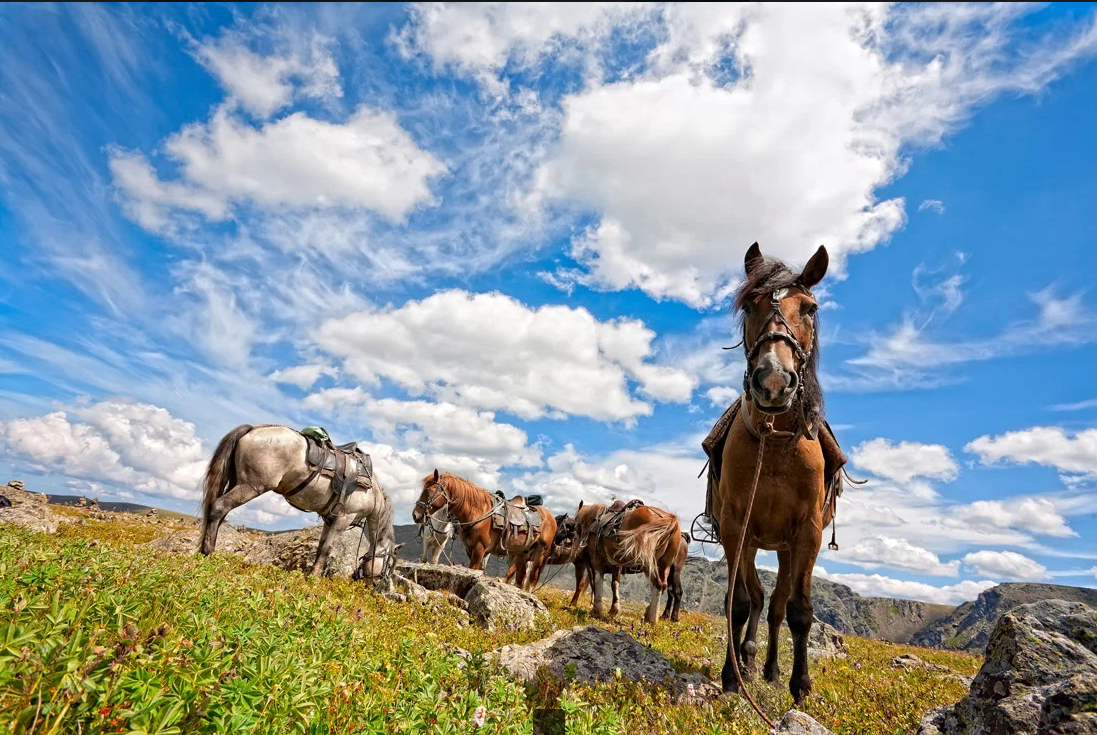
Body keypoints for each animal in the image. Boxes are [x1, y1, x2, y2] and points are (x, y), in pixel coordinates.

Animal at [199, 423, 401, 583]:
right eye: (388, 564)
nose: (378, 584)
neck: (372, 493)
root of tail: (254, 428)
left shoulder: (329, 519)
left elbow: (320, 547)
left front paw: (310, 574)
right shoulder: (343, 518)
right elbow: (327, 549)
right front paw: (314, 578)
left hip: (237, 483)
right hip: (251, 486)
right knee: (219, 507)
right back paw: (208, 552)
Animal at [414, 471, 561, 592]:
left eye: (429, 490)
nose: (415, 515)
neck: (477, 512)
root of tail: (550, 517)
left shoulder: (480, 549)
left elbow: (473, 569)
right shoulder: (470, 549)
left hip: (540, 553)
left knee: (532, 579)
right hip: (523, 553)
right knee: (520, 578)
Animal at [710, 244, 829, 706]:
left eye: (810, 308)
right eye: (749, 306)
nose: (774, 382)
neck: (775, 442)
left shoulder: (808, 532)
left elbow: (798, 610)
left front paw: (800, 685)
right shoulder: (736, 525)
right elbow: (740, 602)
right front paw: (730, 675)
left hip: (785, 548)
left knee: (777, 607)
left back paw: (772, 669)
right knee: (758, 600)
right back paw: (745, 659)